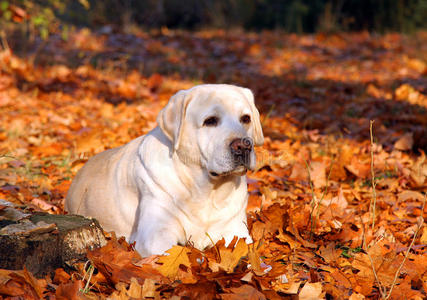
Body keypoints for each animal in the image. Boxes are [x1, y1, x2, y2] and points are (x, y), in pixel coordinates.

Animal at [65, 84, 264, 255]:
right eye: (210, 121)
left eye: (246, 118)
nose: (243, 145)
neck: (205, 189)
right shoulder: (155, 236)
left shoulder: (237, 231)